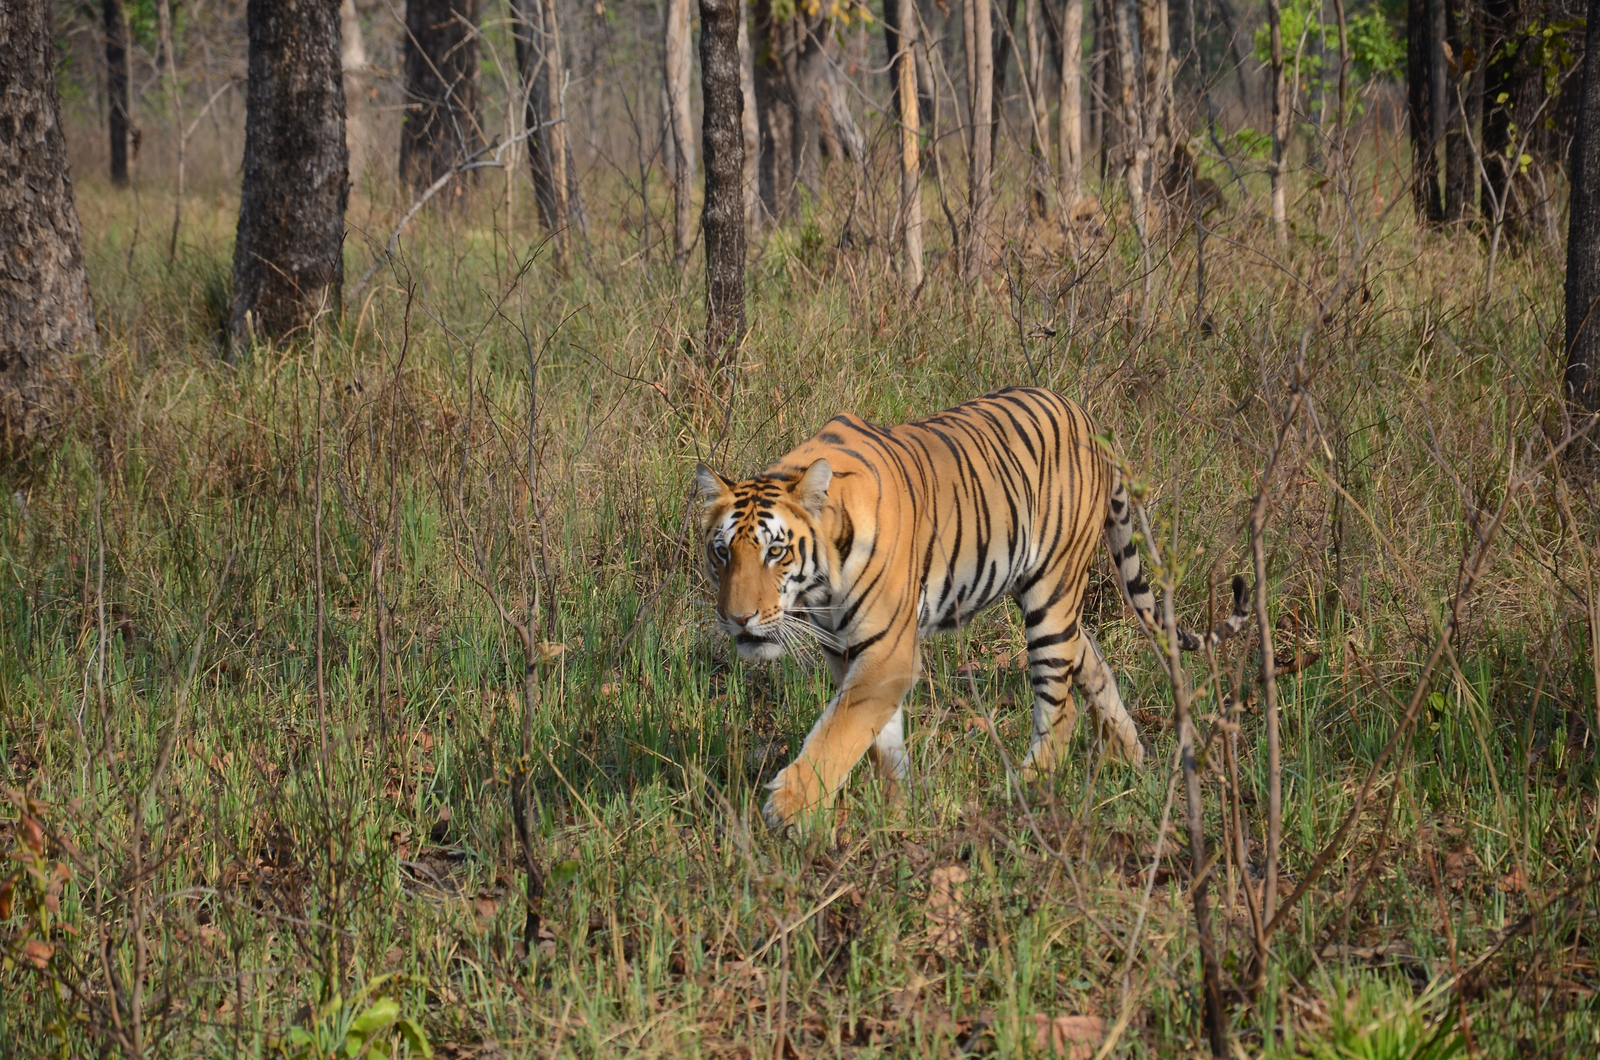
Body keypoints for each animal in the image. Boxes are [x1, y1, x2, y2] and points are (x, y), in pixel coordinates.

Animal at [693, 387, 1248, 829]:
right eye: (721, 553)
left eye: (775, 552)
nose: (737, 619)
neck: (821, 584)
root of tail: (1087, 418)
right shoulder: (850, 654)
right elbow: (877, 738)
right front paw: (898, 811)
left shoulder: (887, 654)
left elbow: (838, 732)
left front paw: (790, 807)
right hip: (1055, 601)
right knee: (1091, 664)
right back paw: (1135, 762)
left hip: (1051, 593)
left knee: (1059, 703)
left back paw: (1027, 788)